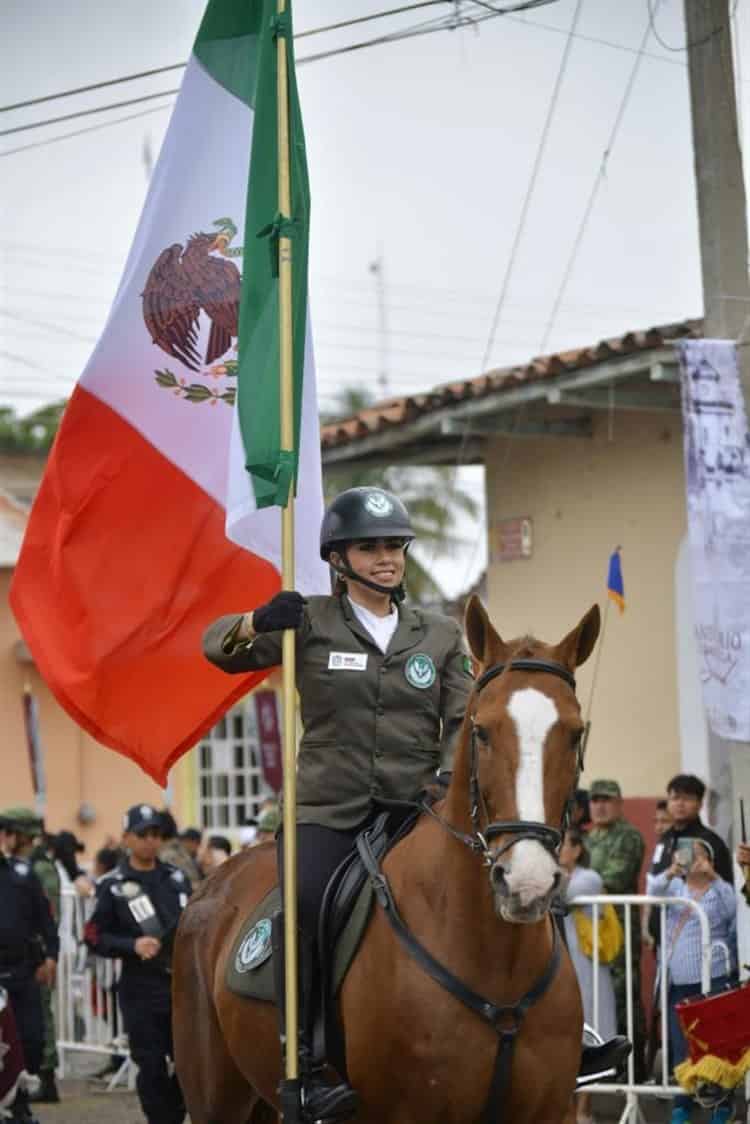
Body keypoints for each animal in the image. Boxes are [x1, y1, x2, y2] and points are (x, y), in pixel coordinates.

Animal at [173, 593, 602, 1119]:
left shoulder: (546, 1112)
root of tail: (212, 882)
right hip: (216, 1097)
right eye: (482, 731)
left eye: (575, 733)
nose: (527, 883)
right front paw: (278, 612)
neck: (494, 955)